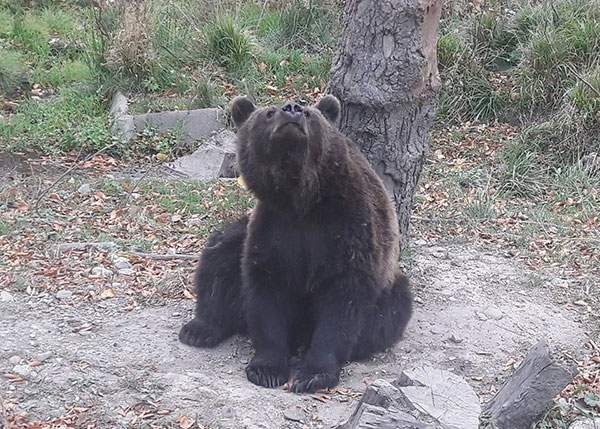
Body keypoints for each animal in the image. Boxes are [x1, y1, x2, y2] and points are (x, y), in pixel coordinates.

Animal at [179, 95, 412, 392]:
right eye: (268, 112)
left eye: (309, 112)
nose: (292, 108)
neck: (302, 197)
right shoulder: (275, 230)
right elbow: (267, 293)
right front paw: (266, 368)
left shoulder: (348, 228)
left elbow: (342, 299)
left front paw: (312, 374)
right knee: (220, 255)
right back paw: (200, 328)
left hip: (390, 288)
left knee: (386, 316)